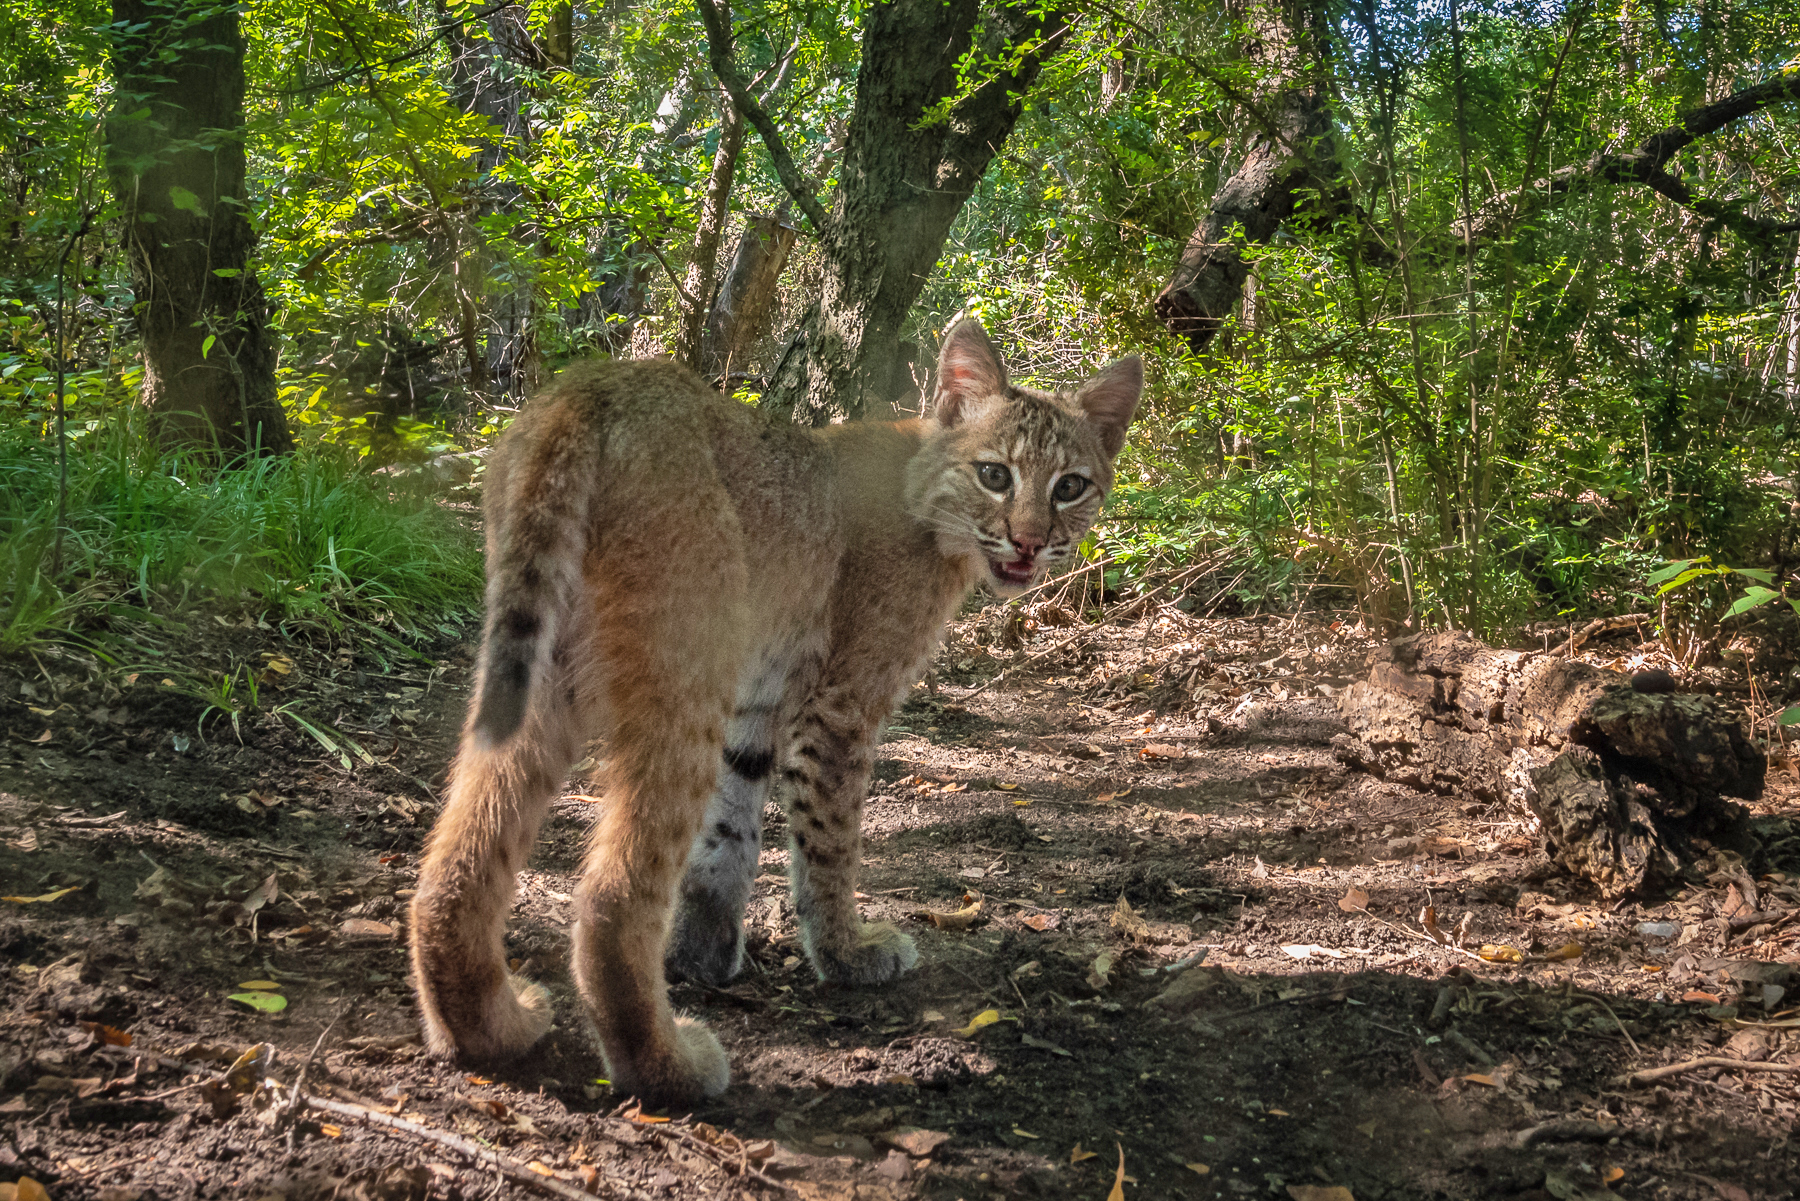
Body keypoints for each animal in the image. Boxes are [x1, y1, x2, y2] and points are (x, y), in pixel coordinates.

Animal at [408, 316, 1137, 1109]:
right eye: (996, 474)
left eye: (1071, 487)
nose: (1032, 543)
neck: (932, 503)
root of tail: (594, 386)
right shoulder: (842, 701)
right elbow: (828, 843)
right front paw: (846, 954)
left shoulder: (758, 697)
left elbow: (730, 828)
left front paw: (701, 949)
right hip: (687, 659)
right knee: (611, 892)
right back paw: (669, 1068)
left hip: (545, 669)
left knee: (461, 854)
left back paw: (490, 1027)